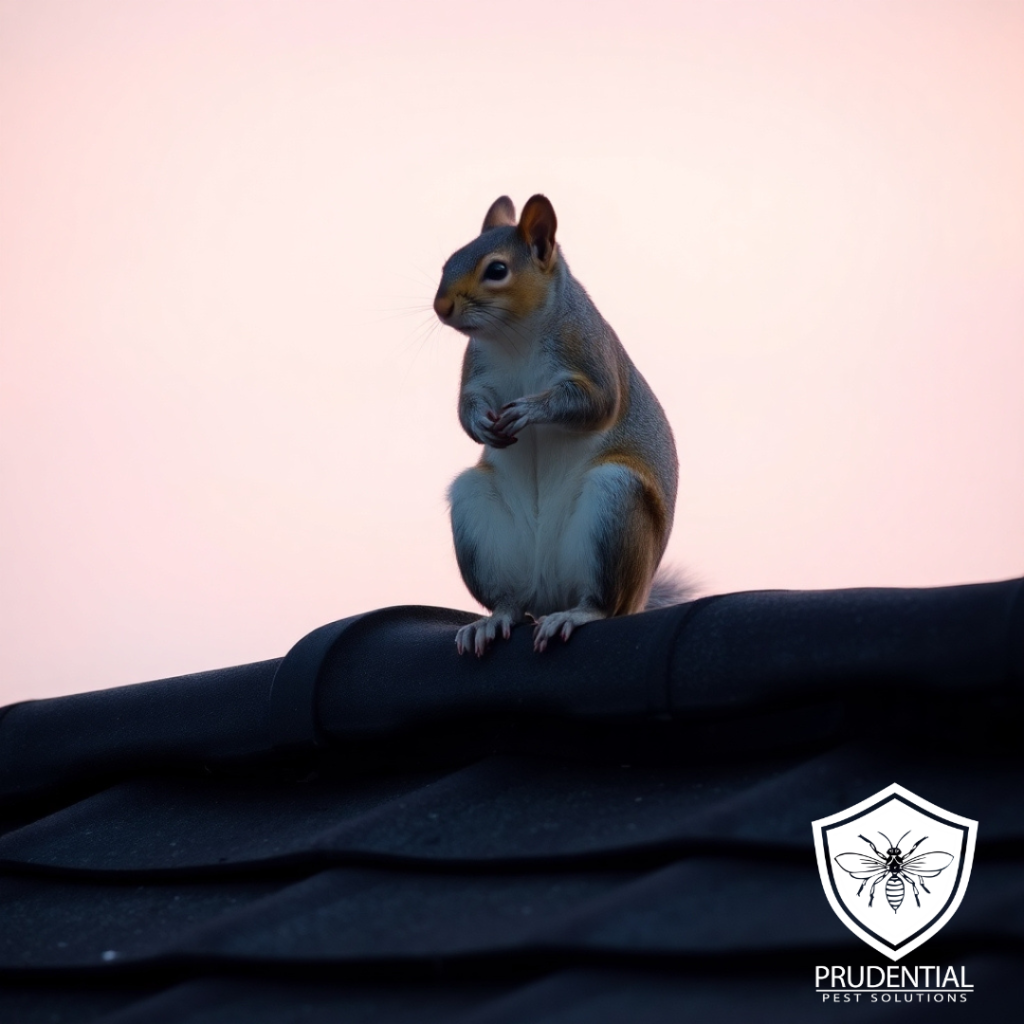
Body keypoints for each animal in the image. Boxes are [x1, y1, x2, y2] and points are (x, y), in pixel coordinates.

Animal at [434, 194, 680, 656]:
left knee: (602, 602)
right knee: (511, 602)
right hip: (478, 516)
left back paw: (577, 613)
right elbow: (465, 408)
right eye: (448, 261)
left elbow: (595, 403)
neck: (516, 334)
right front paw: (481, 424)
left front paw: (531, 411)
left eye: (497, 270)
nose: (441, 308)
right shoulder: (476, 372)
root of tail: (549, 592)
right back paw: (492, 621)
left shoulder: (588, 354)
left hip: (613, 506)